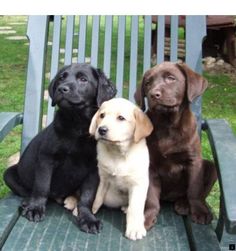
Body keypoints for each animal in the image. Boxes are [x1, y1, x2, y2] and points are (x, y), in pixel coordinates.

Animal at [4, 62, 116, 233]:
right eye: (61, 78)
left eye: (83, 79)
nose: (62, 89)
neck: (77, 126)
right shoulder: (46, 158)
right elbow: (41, 186)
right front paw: (35, 208)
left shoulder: (94, 169)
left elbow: (87, 196)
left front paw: (88, 218)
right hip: (9, 174)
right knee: (30, 191)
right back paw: (27, 203)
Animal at [89, 97, 153, 240]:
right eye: (102, 115)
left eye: (121, 118)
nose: (101, 129)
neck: (117, 153)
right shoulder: (104, 178)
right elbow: (98, 196)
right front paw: (92, 210)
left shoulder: (138, 184)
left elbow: (135, 208)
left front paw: (134, 229)